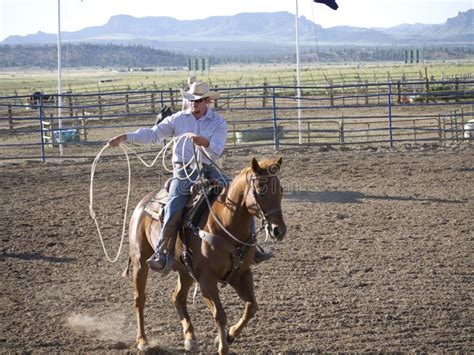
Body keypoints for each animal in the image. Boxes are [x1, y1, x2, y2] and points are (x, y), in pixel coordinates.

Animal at [124, 158, 286, 355]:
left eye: (281, 190)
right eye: (261, 189)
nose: (279, 230)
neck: (225, 224)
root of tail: (143, 202)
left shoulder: (241, 274)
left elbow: (251, 306)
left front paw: (229, 336)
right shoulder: (206, 281)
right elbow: (220, 314)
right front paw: (223, 346)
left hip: (185, 270)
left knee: (178, 297)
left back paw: (190, 338)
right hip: (140, 261)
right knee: (139, 299)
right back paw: (142, 341)